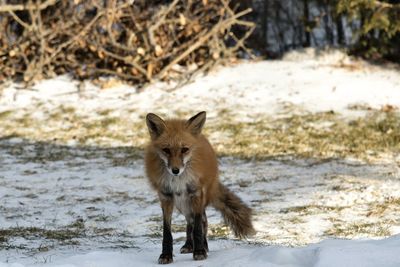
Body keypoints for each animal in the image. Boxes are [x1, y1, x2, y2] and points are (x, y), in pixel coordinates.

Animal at [145, 111, 255, 264]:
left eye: (184, 149)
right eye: (166, 150)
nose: (175, 170)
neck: (178, 180)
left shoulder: (195, 193)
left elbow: (198, 227)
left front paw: (200, 251)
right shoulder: (166, 196)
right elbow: (167, 231)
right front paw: (166, 255)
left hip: (196, 199)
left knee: (203, 221)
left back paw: (203, 245)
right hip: (182, 204)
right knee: (189, 222)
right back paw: (188, 245)